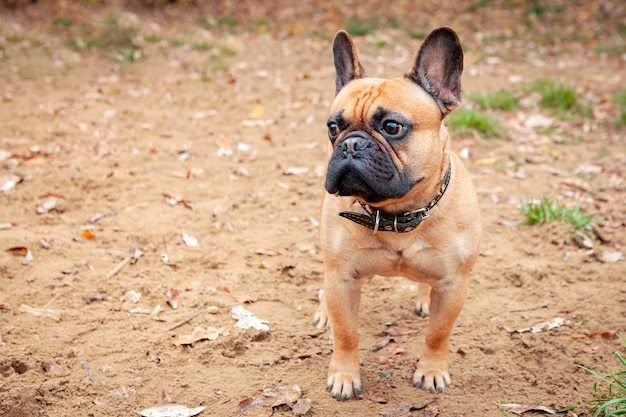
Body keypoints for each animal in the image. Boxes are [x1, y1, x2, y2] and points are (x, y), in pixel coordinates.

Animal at [314, 27, 480, 398]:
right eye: (333, 128)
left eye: (392, 127)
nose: (350, 144)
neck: (394, 213)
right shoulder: (342, 278)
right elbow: (346, 333)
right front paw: (344, 375)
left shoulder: (453, 284)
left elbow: (438, 333)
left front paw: (431, 371)